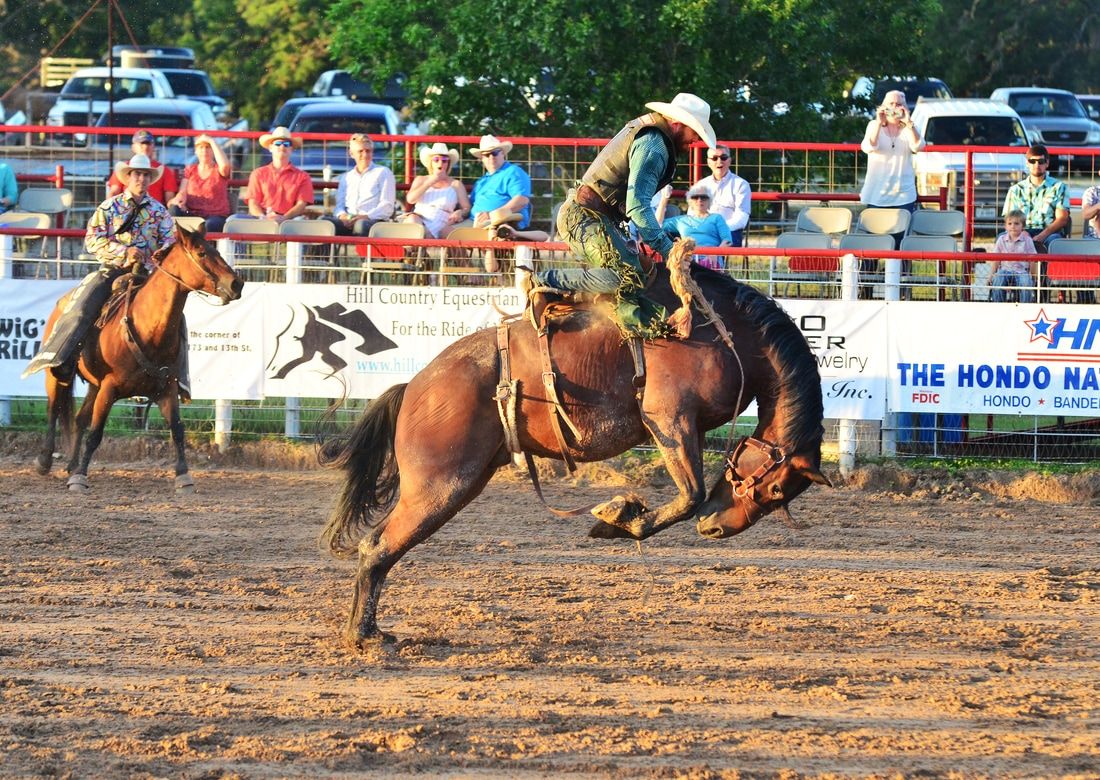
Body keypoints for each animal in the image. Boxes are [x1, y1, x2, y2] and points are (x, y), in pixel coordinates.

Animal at [34, 225, 243, 490]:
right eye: (202, 252)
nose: (236, 283)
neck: (149, 329)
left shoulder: (167, 388)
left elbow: (177, 429)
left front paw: (183, 476)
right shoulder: (110, 388)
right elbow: (96, 433)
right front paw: (81, 477)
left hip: (94, 384)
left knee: (79, 419)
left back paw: (71, 465)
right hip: (57, 372)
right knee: (54, 407)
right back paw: (45, 460)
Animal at [319, 265, 827, 646]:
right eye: (775, 489)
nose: (717, 530)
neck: (730, 333)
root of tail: (415, 386)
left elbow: (691, 495)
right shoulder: (669, 416)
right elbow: (690, 495)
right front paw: (615, 517)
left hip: (456, 482)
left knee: (378, 543)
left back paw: (365, 632)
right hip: (440, 485)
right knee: (379, 546)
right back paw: (365, 637)